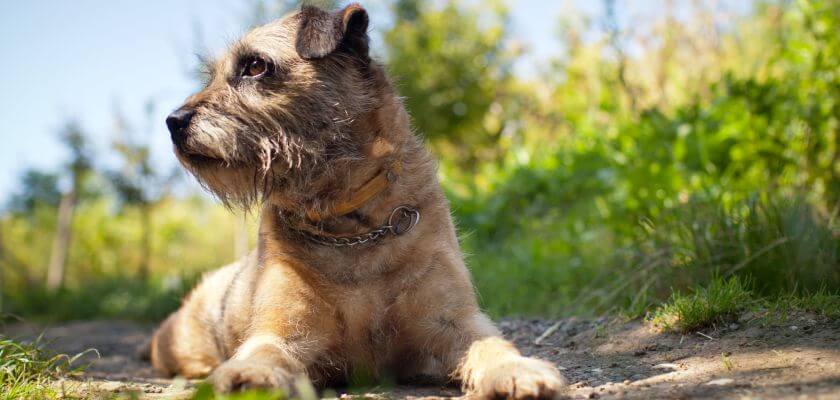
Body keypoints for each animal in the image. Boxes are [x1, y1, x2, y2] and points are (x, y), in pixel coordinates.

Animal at [154, 3, 568, 400]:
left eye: (255, 66)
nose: (173, 122)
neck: (351, 223)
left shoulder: (453, 320)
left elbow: (491, 344)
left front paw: (516, 369)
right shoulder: (286, 329)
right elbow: (265, 350)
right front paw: (250, 375)